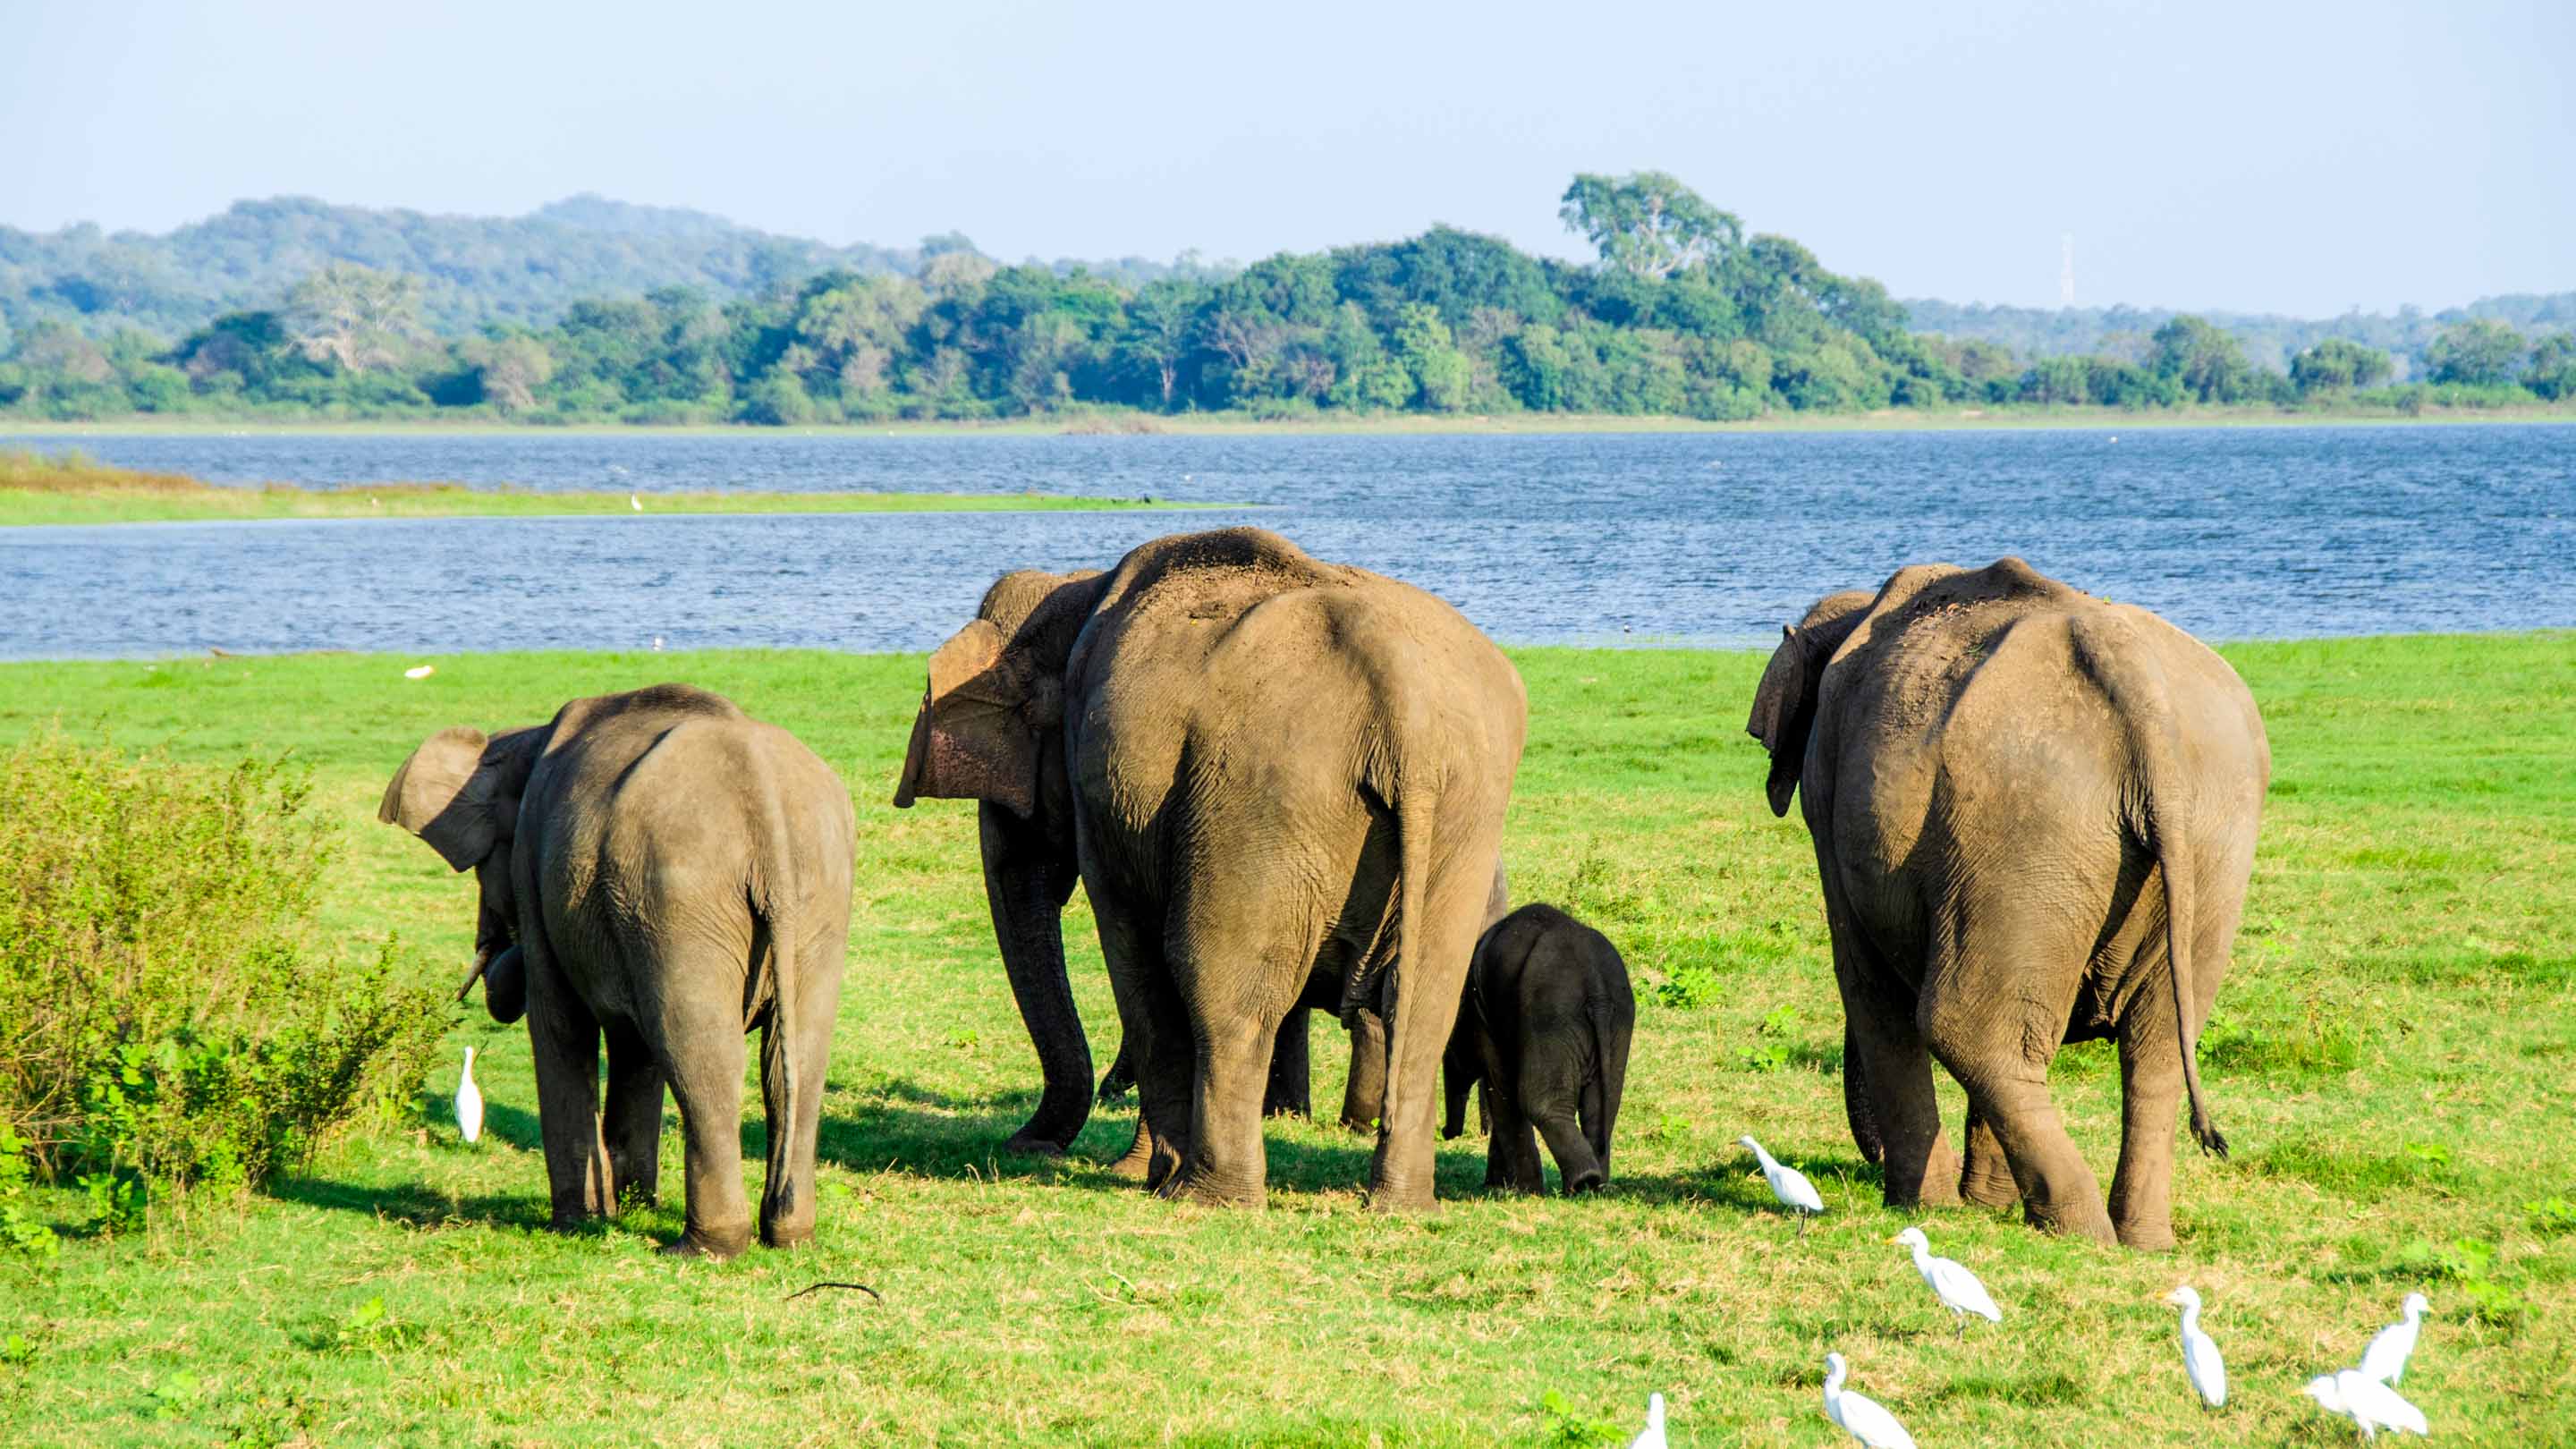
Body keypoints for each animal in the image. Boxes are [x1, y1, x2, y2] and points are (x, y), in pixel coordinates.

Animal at [378, 680, 855, 1252]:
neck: (523, 740)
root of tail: (764, 800)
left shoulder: (537, 870)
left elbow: (561, 1025)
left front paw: (580, 1223)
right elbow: (636, 1048)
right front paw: (634, 1207)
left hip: (679, 892)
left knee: (702, 1052)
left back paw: (704, 1248)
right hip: (814, 896)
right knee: (795, 1055)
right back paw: (789, 1235)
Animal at [902, 523, 1524, 1201]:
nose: (1026, 1146)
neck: (1074, 585)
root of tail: (1404, 705)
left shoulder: (1105, 798)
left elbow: (1134, 954)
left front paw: (1137, 1173)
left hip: (1261, 799)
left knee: (1223, 990)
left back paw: (1206, 1196)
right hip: (1463, 813)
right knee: (1424, 1001)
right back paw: (1398, 1205)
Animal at [1453, 897, 1628, 1191]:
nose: (1449, 1132)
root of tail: (1598, 994)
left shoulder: (1485, 1012)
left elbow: (1501, 1085)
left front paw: (1516, 1190)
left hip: (1551, 1018)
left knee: (1538, 1101)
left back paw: (1582, 1182)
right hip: (1618, 1022)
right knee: (1602, 1105)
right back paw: (1596, 1186)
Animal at [1751, 559, 2276, 1248]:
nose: (1868, 1165)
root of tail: (2139, 688)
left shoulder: (1827, 796)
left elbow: (1865, 981)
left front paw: (1927, 1209)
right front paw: (1983, 1205)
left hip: (2024, 823)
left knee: (1965, 1026)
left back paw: (2078, 1233)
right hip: (2204, 837)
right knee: (2155, 1045)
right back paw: (2138, 1238)